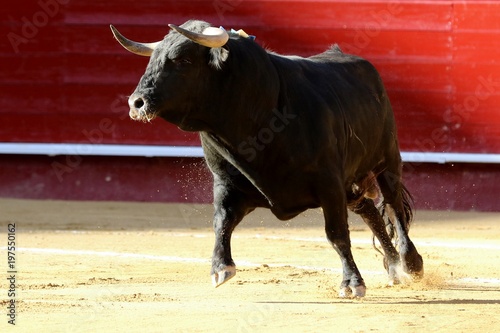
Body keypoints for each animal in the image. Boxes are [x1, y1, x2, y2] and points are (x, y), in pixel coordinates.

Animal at [110, 19, 422, 296]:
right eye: (153, 59)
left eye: (183, 60)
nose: (136, 103)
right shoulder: (227, 181)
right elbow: (221, 221)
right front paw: (220, 268)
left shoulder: (328, 182)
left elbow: (336, 232)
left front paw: (352, 283)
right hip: (352, 182)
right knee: (369, 209)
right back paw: (394, 266)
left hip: (387, 159)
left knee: (393, 205)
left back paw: (410, 263)